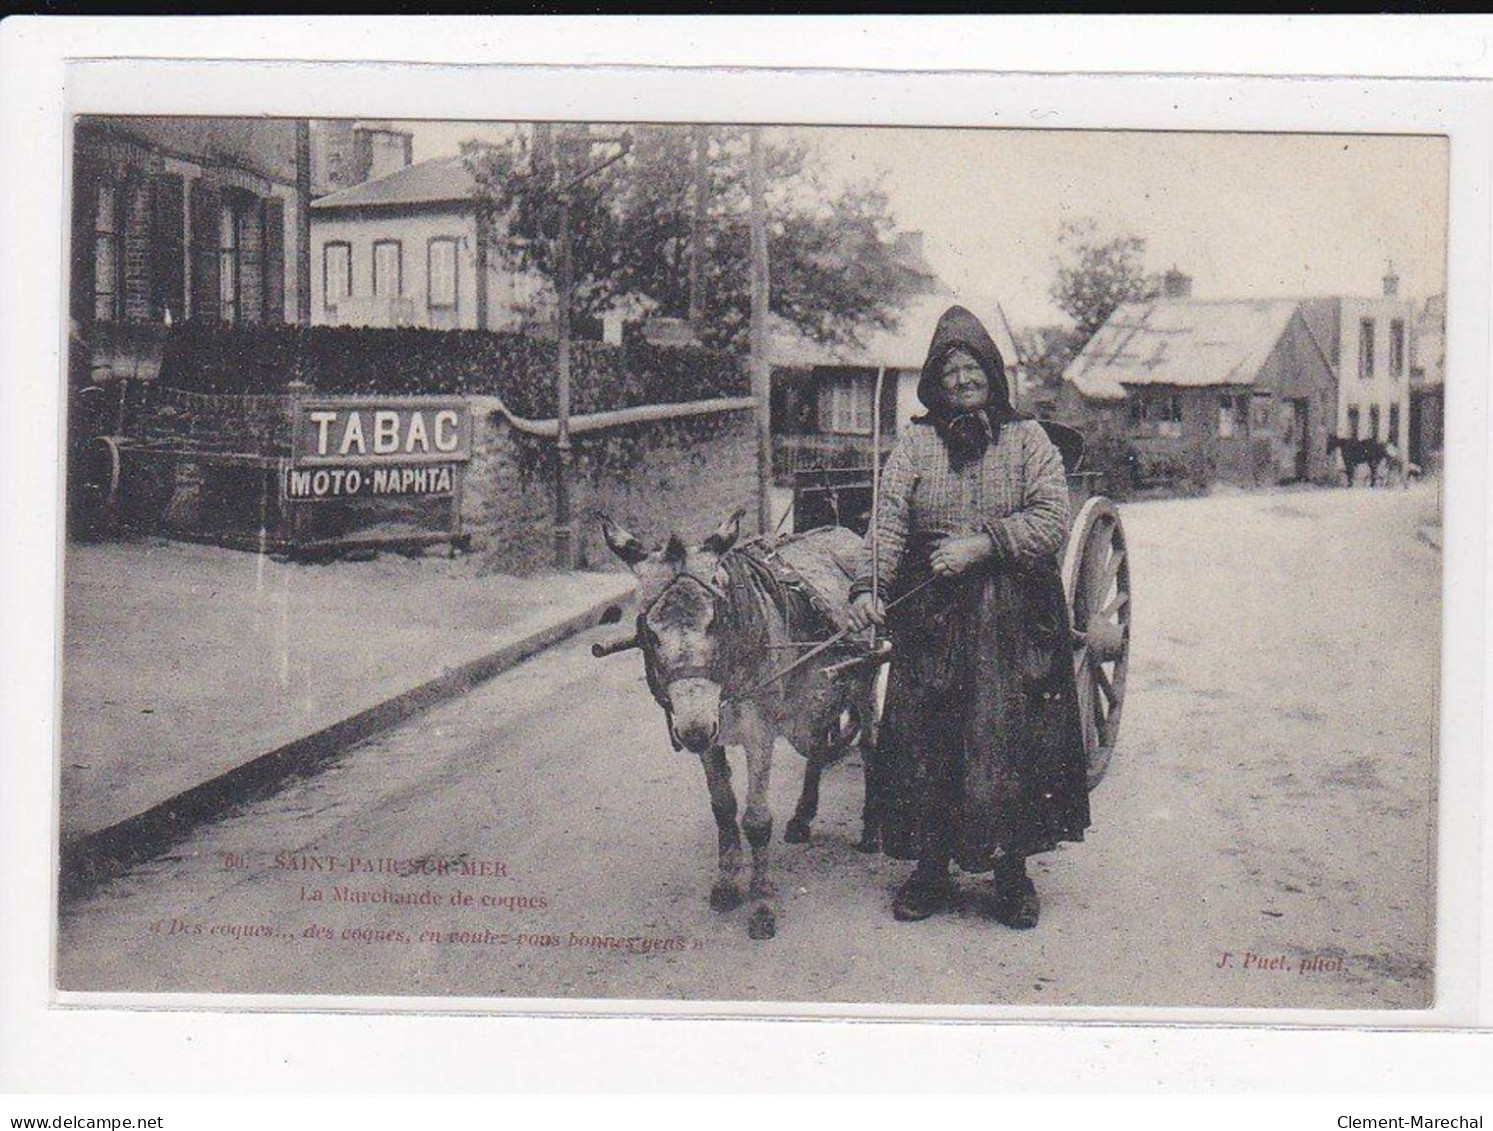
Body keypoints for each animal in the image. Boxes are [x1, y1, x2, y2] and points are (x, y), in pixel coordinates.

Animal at [600, 510, 877, 937]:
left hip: (862, 678)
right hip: (812, 698)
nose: (694, 732)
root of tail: (845, 532)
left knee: (870, 744)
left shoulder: (759, 733)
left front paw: (762, 903)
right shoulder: (708, 738)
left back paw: (871, 828)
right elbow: (723, 809)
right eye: (650, 632)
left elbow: (757, 821)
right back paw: (802, 818)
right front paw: (728, 883)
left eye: (716, 621)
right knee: (817, 744)